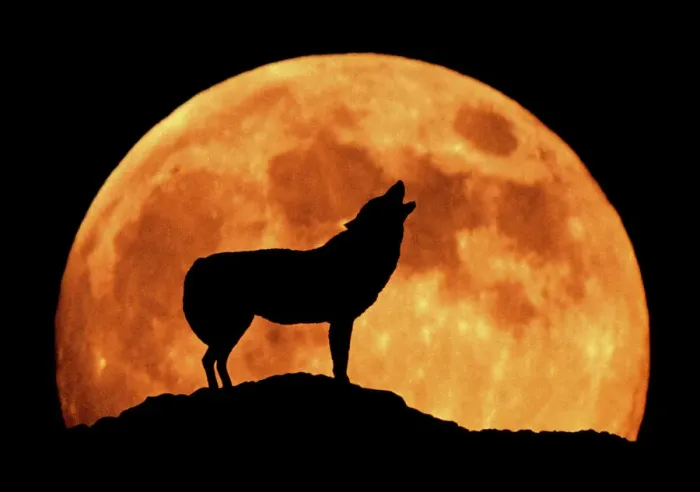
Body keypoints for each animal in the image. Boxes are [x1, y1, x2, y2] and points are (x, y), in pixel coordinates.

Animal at [182, 180, 416, 389]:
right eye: (382, 199)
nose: (399, 182)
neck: (363, 251)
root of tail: (198, 263)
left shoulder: (341, 320)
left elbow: (341, 357)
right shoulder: (341, 320)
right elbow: (340, 359)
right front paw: (344, 382)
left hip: (236, 328)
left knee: (216, 360)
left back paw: (229, 387)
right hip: (235, 326)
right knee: (209, 359)